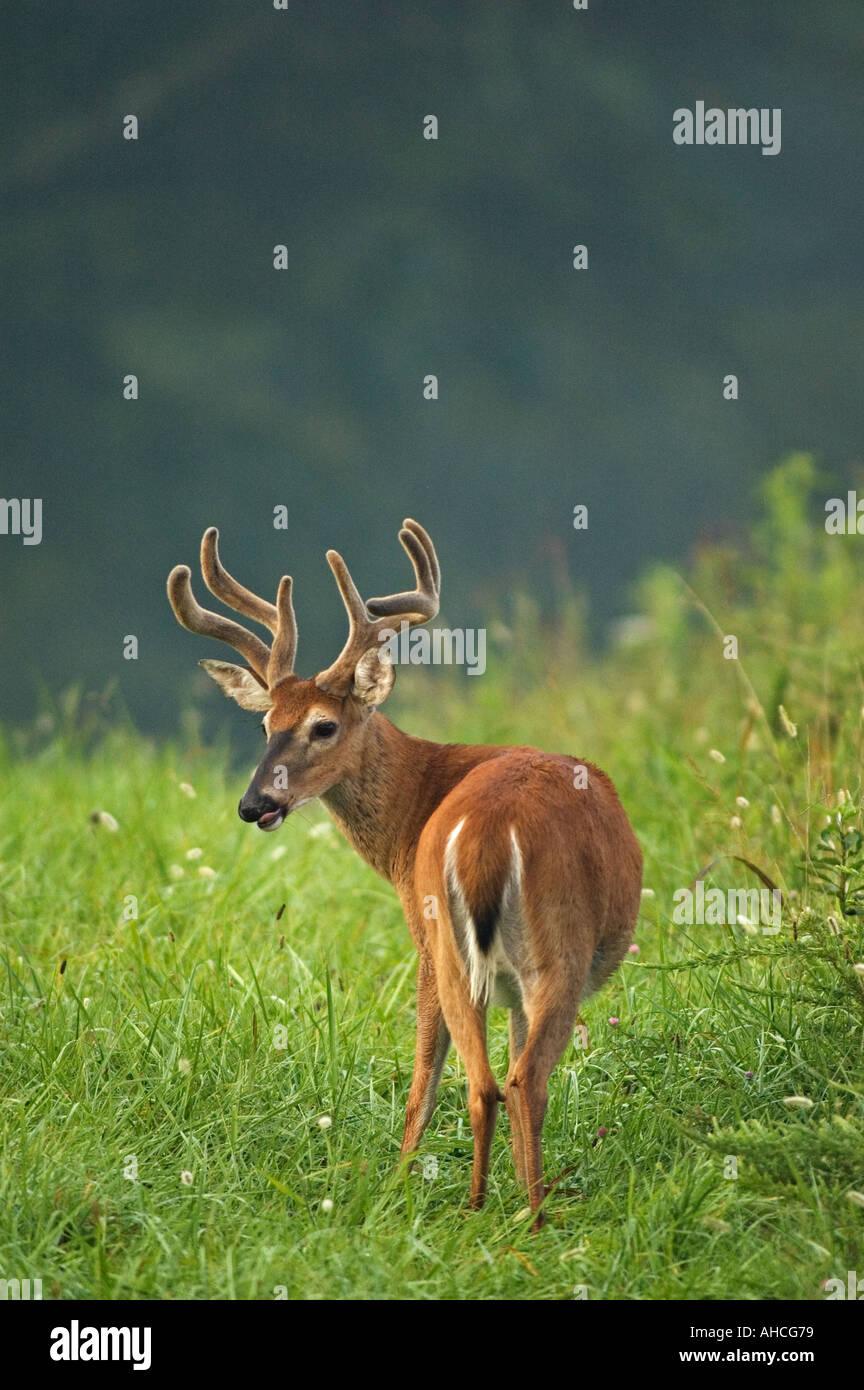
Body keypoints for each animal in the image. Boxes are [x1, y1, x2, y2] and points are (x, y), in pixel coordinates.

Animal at [169, 519, 644, 1228]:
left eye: (323, 725)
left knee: (491, 1080)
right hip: (527, 949)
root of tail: (486, 834)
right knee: (512, 1080)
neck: (412, 813)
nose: (255, 804)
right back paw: (516, 1214)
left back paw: (491, 1207)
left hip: (463, 952)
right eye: (265, 723)